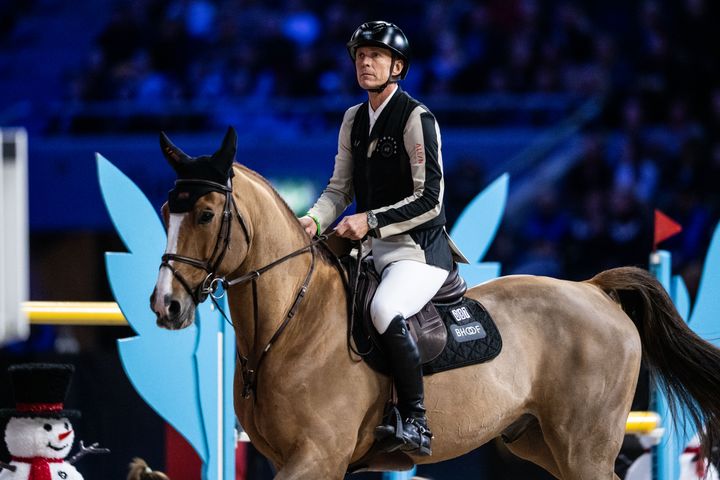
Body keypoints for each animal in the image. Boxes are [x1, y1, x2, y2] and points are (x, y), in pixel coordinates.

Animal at [149, 127, 720, 480]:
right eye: (165, 210)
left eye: (205, 214)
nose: (165, 304)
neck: (292, 326)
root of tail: (594, 288)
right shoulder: (286, 458)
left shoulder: (316, 457)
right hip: (540, 441)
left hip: (584, 448)